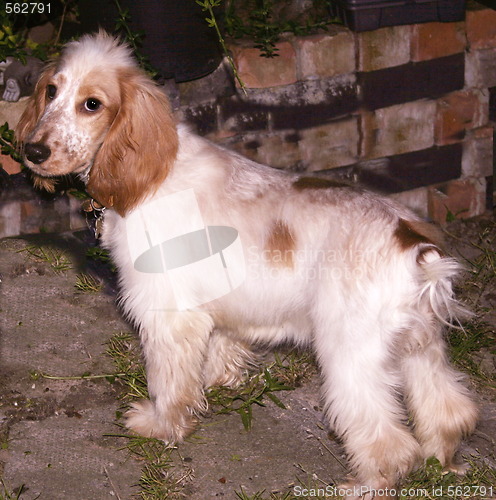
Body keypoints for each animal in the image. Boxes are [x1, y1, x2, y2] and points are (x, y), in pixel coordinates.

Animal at [17, 33, 478, 498]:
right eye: (51, 91)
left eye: (92, 104)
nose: (33, 151)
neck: (151, 174)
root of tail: (415, 247)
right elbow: (219, 349)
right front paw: (218, 382)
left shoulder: (167, 315)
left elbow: (170, 383)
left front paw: (161, 425)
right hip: (420, 349)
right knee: (449, 411)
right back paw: (443, 466)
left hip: (352, 356)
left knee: (389, 443)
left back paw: (365, 485)